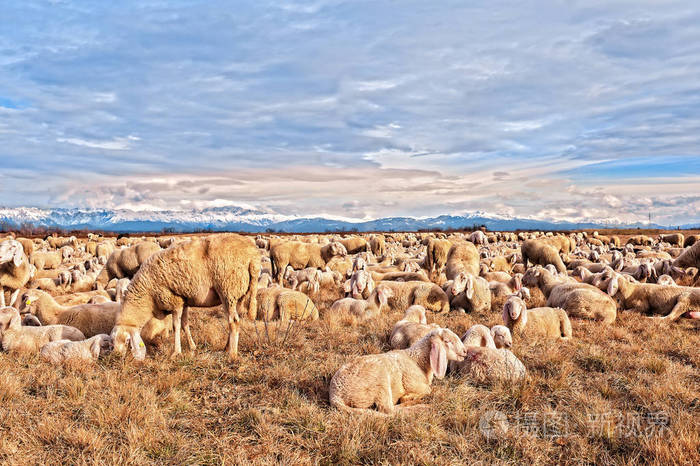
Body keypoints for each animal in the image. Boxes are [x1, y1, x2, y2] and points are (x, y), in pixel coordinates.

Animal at [112, 233, 260, 360]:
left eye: (127, 341)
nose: (116, 357)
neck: (147, 294)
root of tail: (253, 257)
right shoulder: (184, 300)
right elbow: (185, 324)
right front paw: (192, 347)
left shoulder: (174, 300)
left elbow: (176, 326)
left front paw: (176, 352)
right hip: (237, 293)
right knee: (235, 319)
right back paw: (226, 347)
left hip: (228, 289)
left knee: (233, 321)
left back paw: (232, 354)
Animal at [326, 328, 468, 416]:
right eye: (447, 341)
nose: (465, 351)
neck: (417, 360)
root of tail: (335, 395)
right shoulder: (412, 383)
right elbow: (428, 389)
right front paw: (409, 397)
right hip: (380, 381)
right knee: (389, 410)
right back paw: (419, 406)